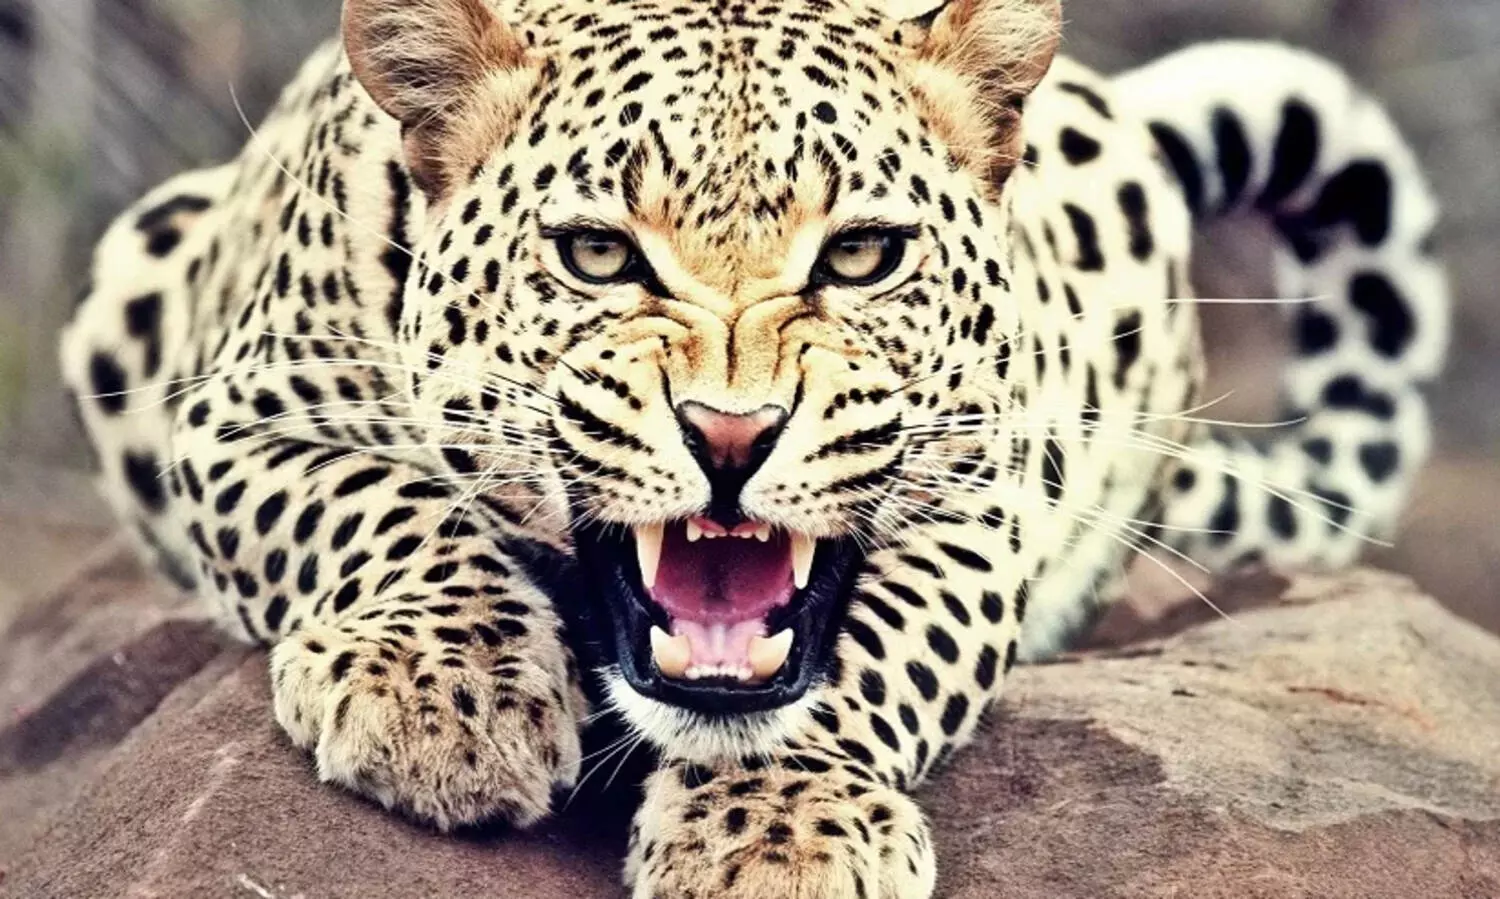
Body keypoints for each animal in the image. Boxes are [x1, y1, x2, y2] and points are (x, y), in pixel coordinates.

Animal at [59, 0, 1450, 895]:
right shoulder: (238, 408)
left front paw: (778, 832)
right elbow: (383, 507)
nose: (732, 431)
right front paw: (442, 697)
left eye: (862, 254)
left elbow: (869, 658)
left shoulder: (984, 491)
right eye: (599, 253)